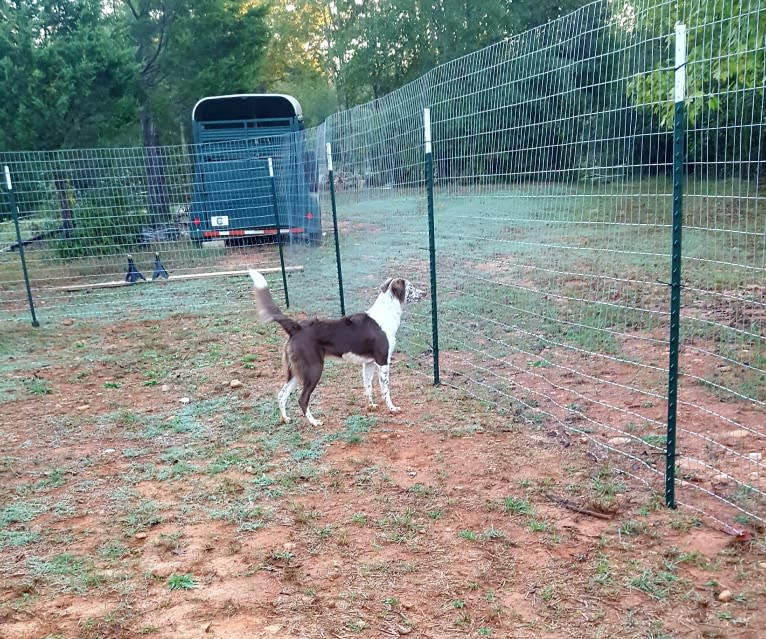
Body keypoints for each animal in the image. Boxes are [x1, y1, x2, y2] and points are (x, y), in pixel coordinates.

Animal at [249, 268, 426, 424]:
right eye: (411, 287)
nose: (424, 293)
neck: (386, 313)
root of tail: (297, 327)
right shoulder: (382, 361)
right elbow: (386, 389)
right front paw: (392, 408)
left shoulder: (368, 363)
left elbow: (368, 387)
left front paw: (371, 406)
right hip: (314, 369)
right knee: (302, 399)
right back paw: (314, 422)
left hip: (295, 371)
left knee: (282, 394)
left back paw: (285, 418)